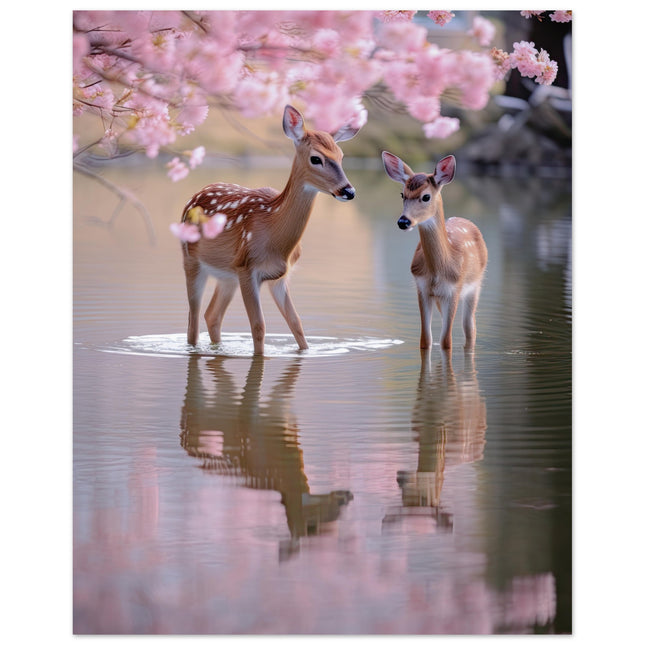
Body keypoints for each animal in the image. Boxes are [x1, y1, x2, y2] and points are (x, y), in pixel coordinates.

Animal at [178, 105, 361, 354]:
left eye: (341, 156)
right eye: (316, 158)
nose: (348, 191)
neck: (274, 233)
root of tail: (193, 196)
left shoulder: (279, 276)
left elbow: (297, 324)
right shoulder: (247, 268)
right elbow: (258, 326)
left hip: (226, 276)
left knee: (212, 315)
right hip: (191, 260)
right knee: (192, 323)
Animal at [382, 151, 488, 352]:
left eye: (426, 197)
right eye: (402, 194)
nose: (403, 221)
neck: (438, 270)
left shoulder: (454, 289)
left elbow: (446, 341)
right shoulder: (422, 288)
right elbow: (426, 340)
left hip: (475, 285)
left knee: (470, 327)